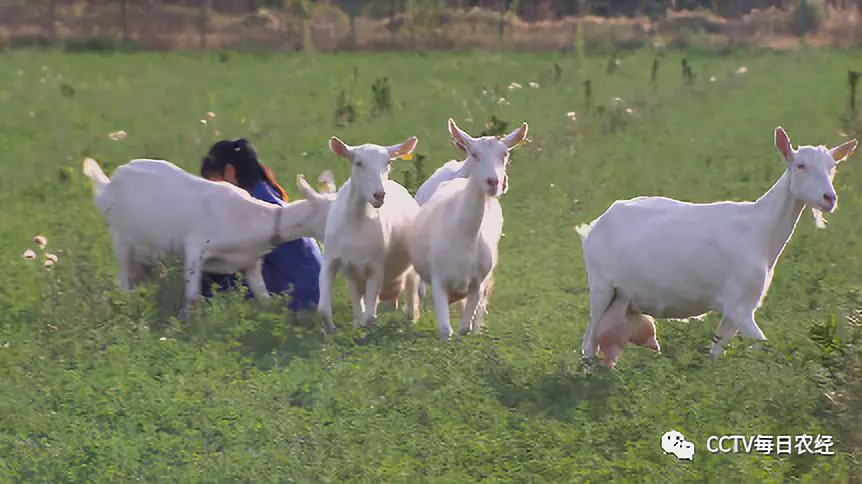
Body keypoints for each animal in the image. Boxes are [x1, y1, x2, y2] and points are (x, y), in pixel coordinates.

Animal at [82, 157, 328, 320]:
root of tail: (108, 184)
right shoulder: (196, 247)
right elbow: (192, 297)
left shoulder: (250, 264)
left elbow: (265, 298)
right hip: (120, 238)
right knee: (124, 283)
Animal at [410, 117, 528, 340]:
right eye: (475, 154)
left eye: (505, 154)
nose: (495, 182)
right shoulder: (439, 278)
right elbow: (445, 330)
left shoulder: (478, 282)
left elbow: (465, 325)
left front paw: (471, 329)